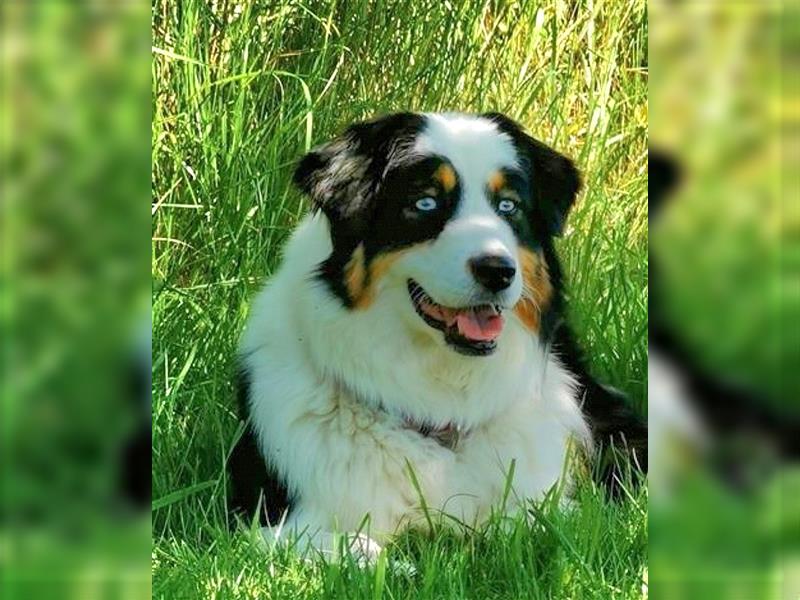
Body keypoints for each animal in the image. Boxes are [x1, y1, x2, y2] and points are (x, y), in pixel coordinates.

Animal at [228, 111, 648, 556]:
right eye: (425, 203)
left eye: (509, 206)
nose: (497, 271)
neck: (441, 404)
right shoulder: (267, 522)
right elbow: (356, 546)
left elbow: (526, 521)